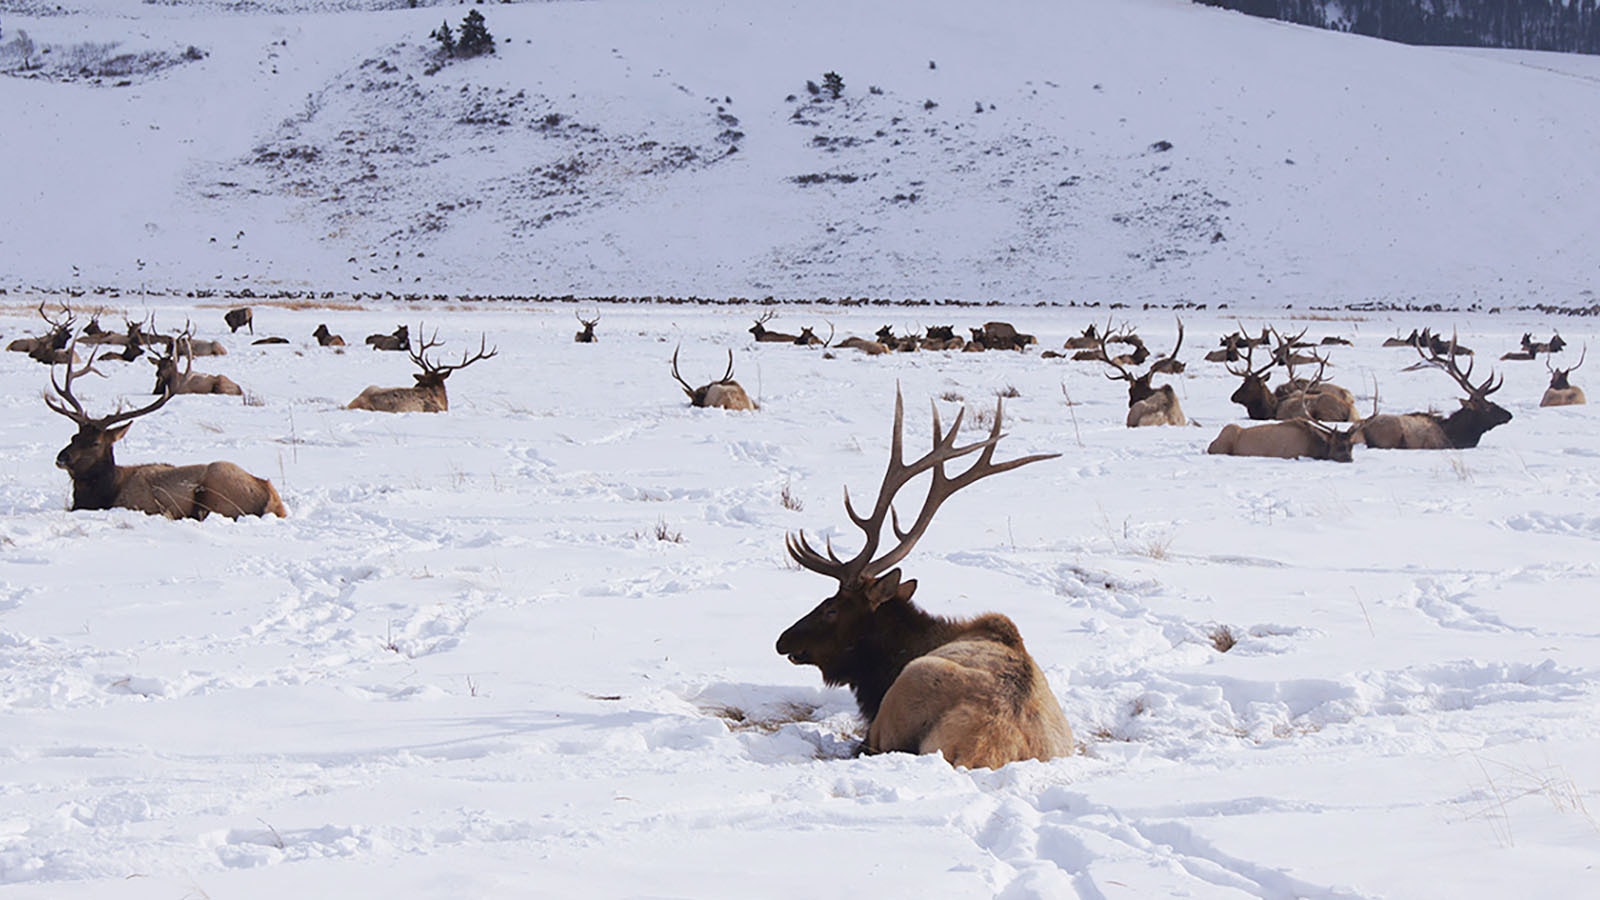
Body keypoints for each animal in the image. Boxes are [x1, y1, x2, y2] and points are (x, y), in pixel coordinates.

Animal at [46, 348, 287, 519]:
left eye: (95, 442)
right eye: (74, 437)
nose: (62, 457)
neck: (103, 493)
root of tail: (273, 500)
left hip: (216, 486)